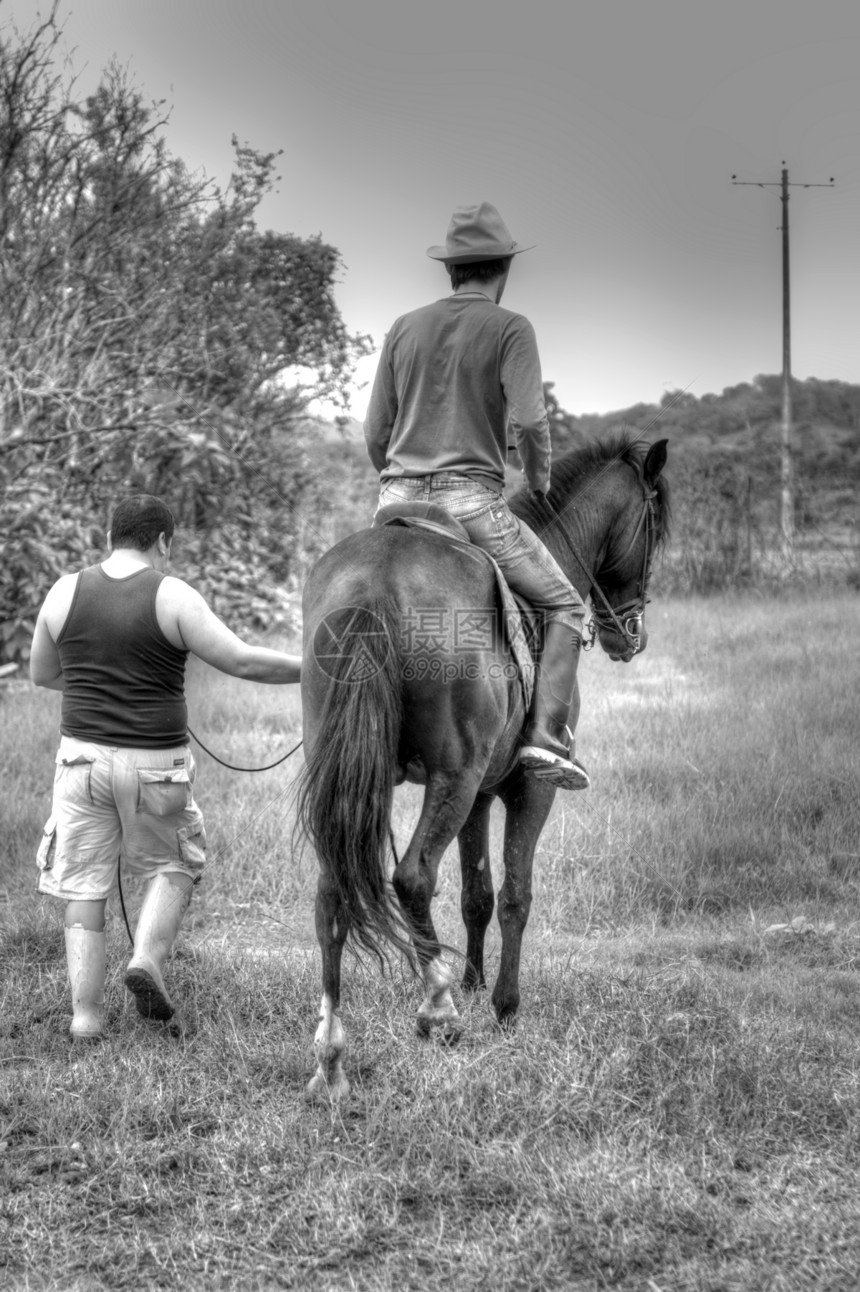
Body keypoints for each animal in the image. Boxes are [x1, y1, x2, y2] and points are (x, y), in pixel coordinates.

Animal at [298, 428, 666, 1095]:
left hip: (369, 774)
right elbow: (517, 893)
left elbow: (478, 894)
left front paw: (471, 981)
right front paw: (502, 1005)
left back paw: (332, 1054)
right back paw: (437, 1009)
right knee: (412, 877)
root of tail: (376, 579)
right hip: (454, 778)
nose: (631, 635)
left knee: (333, 891)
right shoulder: (525, 787)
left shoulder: (481, 792)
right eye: (654, 526)